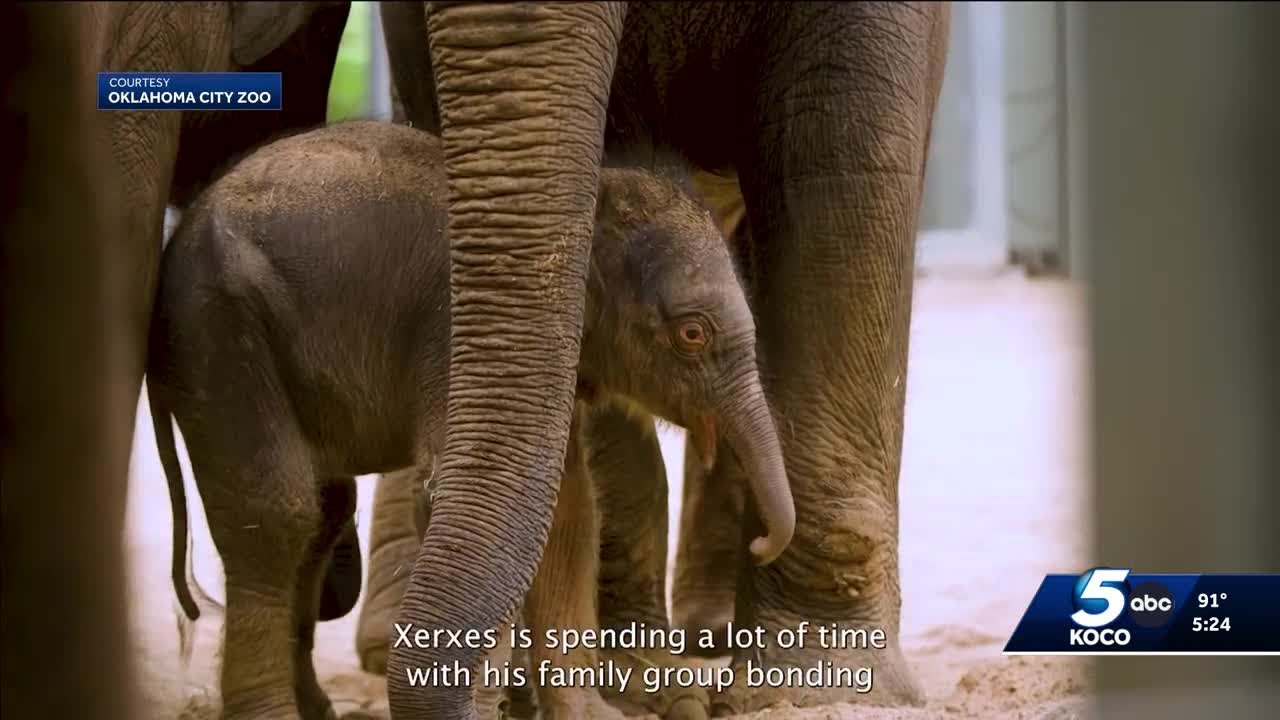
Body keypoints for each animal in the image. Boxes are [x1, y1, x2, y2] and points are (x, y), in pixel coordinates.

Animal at [146, 120, 793, 719]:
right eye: (692, 334)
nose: (761, 543)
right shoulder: (454, 333)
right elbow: (462, 493)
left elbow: (565, 511)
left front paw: (584, 714)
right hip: (217, 333)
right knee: (279, 512)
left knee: (323, 513)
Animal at [379, 3, 951, 718]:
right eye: (690, 336)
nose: (768, 541)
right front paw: (648, 689)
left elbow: (844, 163)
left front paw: (822, 689)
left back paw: (717, 637)